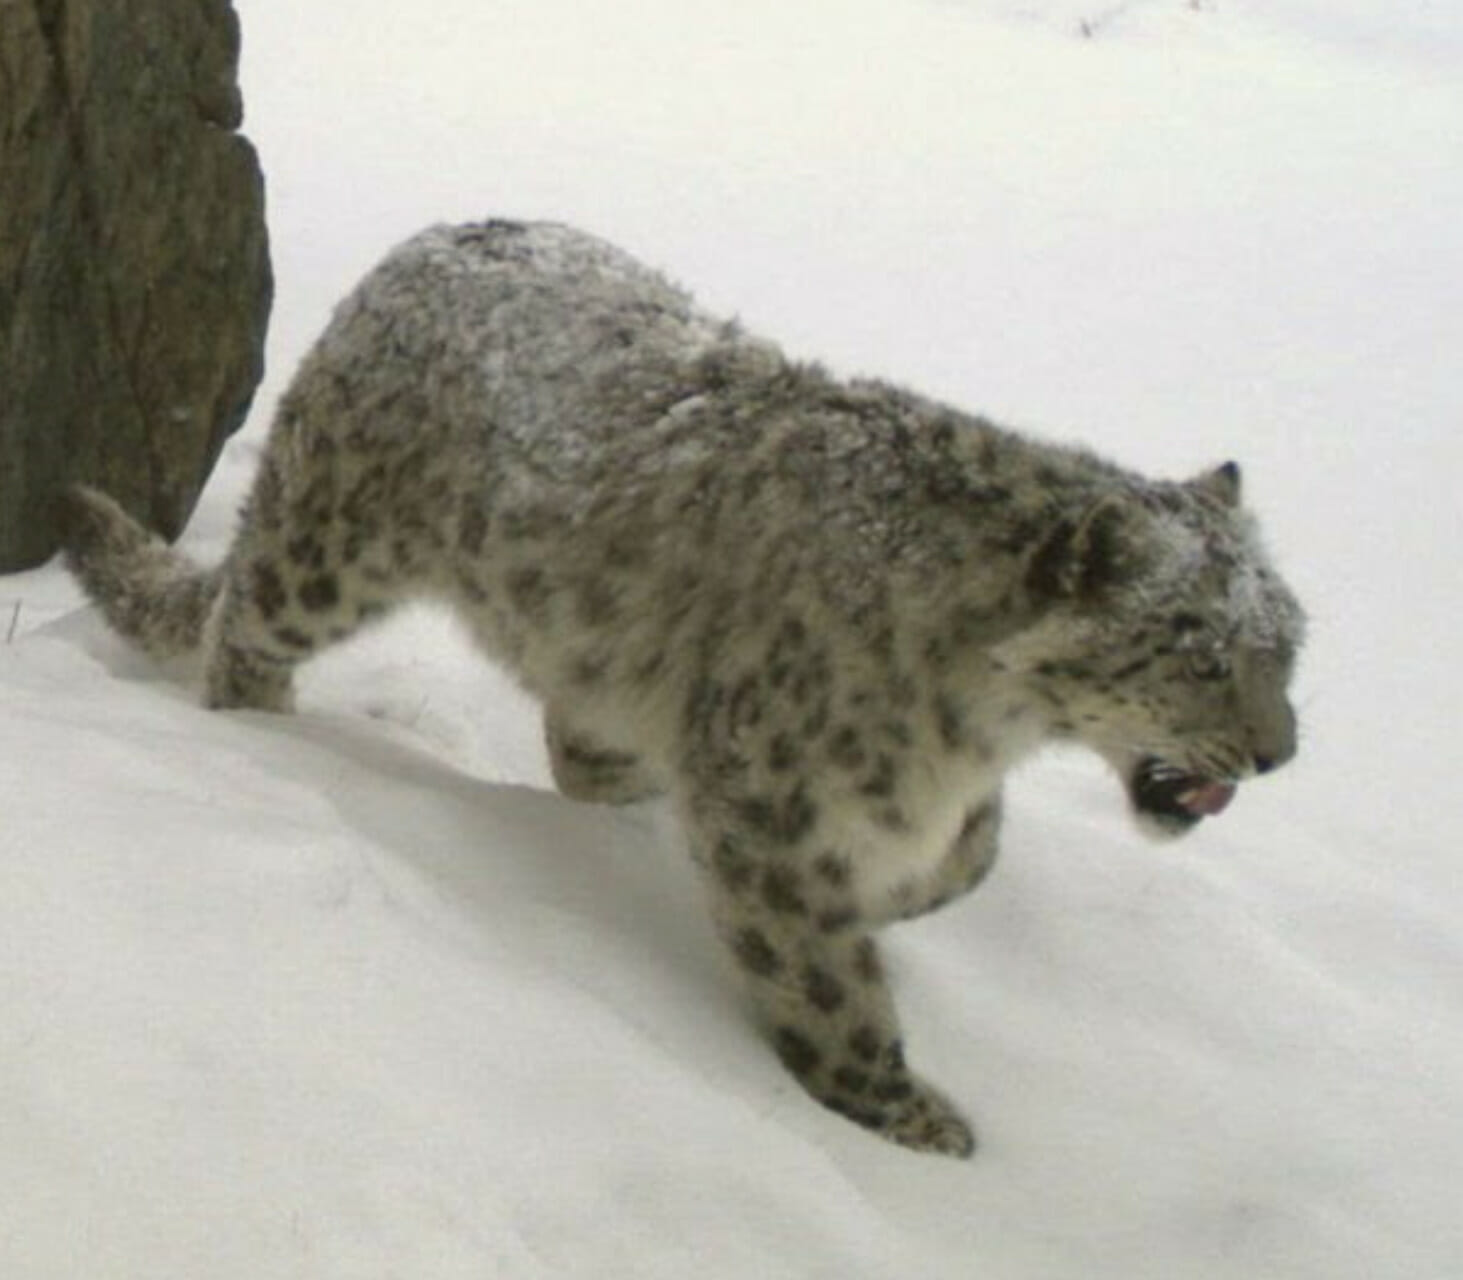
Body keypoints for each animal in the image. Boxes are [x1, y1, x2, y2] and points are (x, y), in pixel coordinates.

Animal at [62, 219, 1305, 1157]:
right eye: (1198, 651)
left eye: (1288, 643)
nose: (1278, 751)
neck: (980, 727)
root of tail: (428, 243)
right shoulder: (772, 797)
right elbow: (821, 973)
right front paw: (902, 1115)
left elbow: (969, 854)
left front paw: (907, 888)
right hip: (327, 551)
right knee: (243, 626)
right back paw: (264, 739)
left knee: (580, 741)